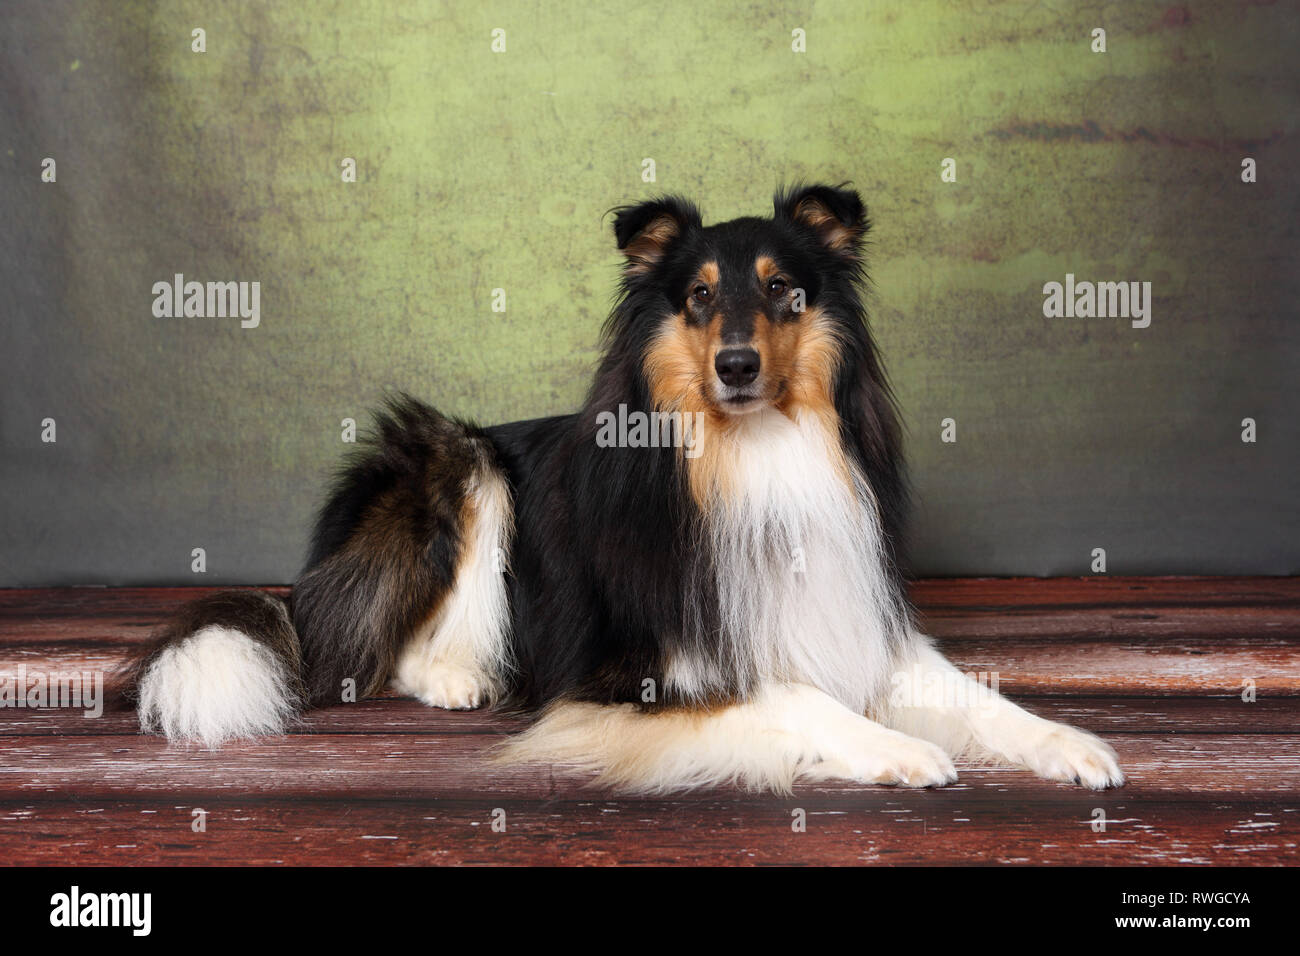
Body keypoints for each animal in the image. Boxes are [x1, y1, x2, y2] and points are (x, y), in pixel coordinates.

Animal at [129, 184, 1128, 790]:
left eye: (785, 291)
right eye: (698, 296)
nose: (734, 366)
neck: (749, 454)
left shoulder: (850, 616)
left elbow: (975, 695)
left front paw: (1069, 743)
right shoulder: (642, 666)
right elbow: (793, 694)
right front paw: (898, 747)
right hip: (464, 465)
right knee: (377, 645)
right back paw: (459, 677)